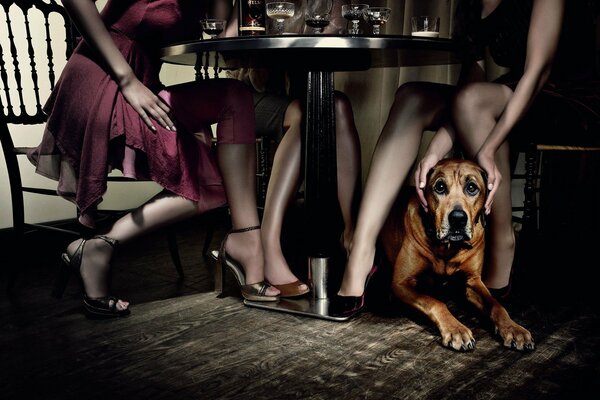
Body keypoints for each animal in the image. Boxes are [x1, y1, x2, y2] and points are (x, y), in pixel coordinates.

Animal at [378, 158, 536, 352]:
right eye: (440, 187)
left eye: (471, 187)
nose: (458, 219)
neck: (447, 247)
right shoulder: (401, 284)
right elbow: (436, 302)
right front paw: (456, 329)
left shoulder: (472, 281)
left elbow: (496, 305)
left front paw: (513, 328)